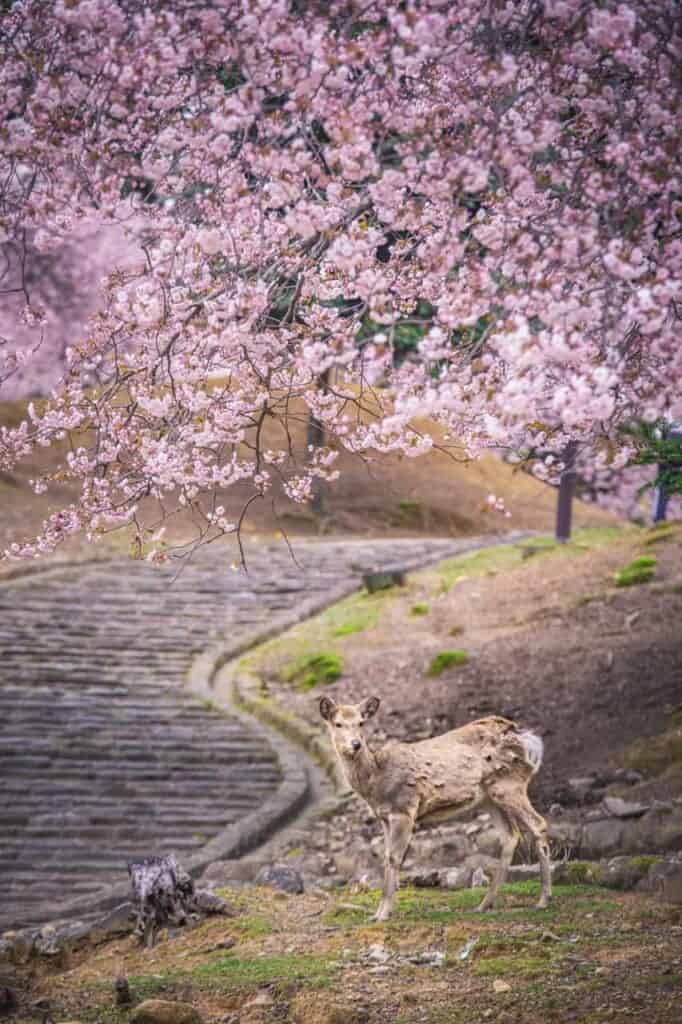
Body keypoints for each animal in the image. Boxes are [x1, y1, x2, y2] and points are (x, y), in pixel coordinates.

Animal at [319, 695, 551, 922]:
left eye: (361, 722)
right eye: (337, 723)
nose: (356, 744)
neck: (374, 782)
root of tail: (527, 738)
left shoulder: (404, 808)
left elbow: (394, 857)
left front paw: (383, 914)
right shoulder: (384, 816)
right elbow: (386, 856)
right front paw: (378, 913)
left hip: (510, 783)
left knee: (538, 824)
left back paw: (543, 900)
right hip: (490, 797)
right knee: (510, 836)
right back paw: (484, 904)